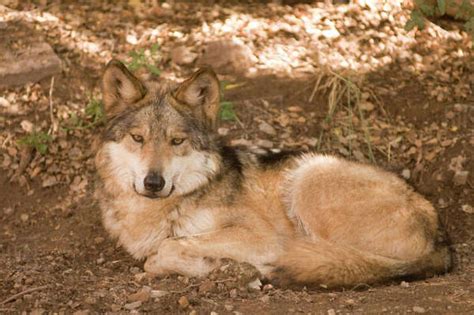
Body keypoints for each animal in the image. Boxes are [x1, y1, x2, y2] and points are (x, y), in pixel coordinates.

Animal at [93, 59, 452, 288]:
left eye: (176, 141)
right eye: (138, 138)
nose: (154, 183)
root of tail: (440, 234)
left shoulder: (258, 236)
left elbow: (163, 251)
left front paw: (209, 264)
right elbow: (160, 252)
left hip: (309, 177)